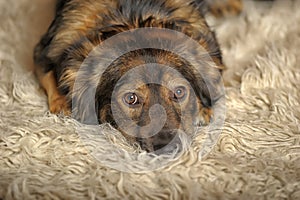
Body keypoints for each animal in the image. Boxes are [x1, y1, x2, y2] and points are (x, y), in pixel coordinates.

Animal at [34, 0, 243, 152]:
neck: (134, 18)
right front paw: (64, 105)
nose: (168, 149)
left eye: (179, 92)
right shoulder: (42, 53)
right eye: (131, 98)